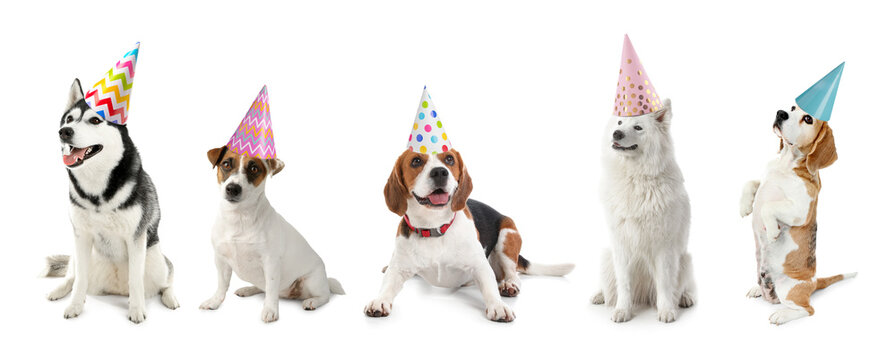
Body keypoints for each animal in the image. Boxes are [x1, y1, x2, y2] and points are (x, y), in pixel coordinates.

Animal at [42, 79, 180, 324]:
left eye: (95, 120)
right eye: (69, 119)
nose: (64, 132)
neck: (97, 189)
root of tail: (116, 289)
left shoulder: (136, 239)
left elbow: (136, 280)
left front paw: (136, 309)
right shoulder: (81, 236)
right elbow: (79, 280)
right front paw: (75, 305)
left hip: (156, 260)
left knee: (166, 280)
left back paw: (169, 297)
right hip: (81, 254)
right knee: (72, 275)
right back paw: (58, 290)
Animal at [592, 99, 696, 324]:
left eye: (638, 127)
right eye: (620, 122)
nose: (616, 134)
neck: (635, 177)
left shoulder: (664, 246)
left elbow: (664, 283)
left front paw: (666, 311)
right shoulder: (621, 244)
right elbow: (623, 284)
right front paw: (623, 310)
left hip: (685, 260)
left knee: (684, 286)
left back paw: (685, 298)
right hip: (606, 257)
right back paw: (599, 295)